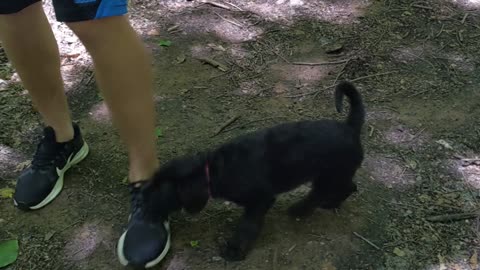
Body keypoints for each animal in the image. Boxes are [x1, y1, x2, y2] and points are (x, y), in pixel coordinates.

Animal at [141, 80, 366, 262]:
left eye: (159, 194)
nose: (144, 212)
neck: (213, 170)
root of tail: (350, 128)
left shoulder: (260, 200)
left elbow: (247, 227)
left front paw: (234, 250)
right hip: (332, 174)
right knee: (349, 186)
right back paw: (330, 203)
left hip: (329, 175)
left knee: (327, 192)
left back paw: (301, 210)